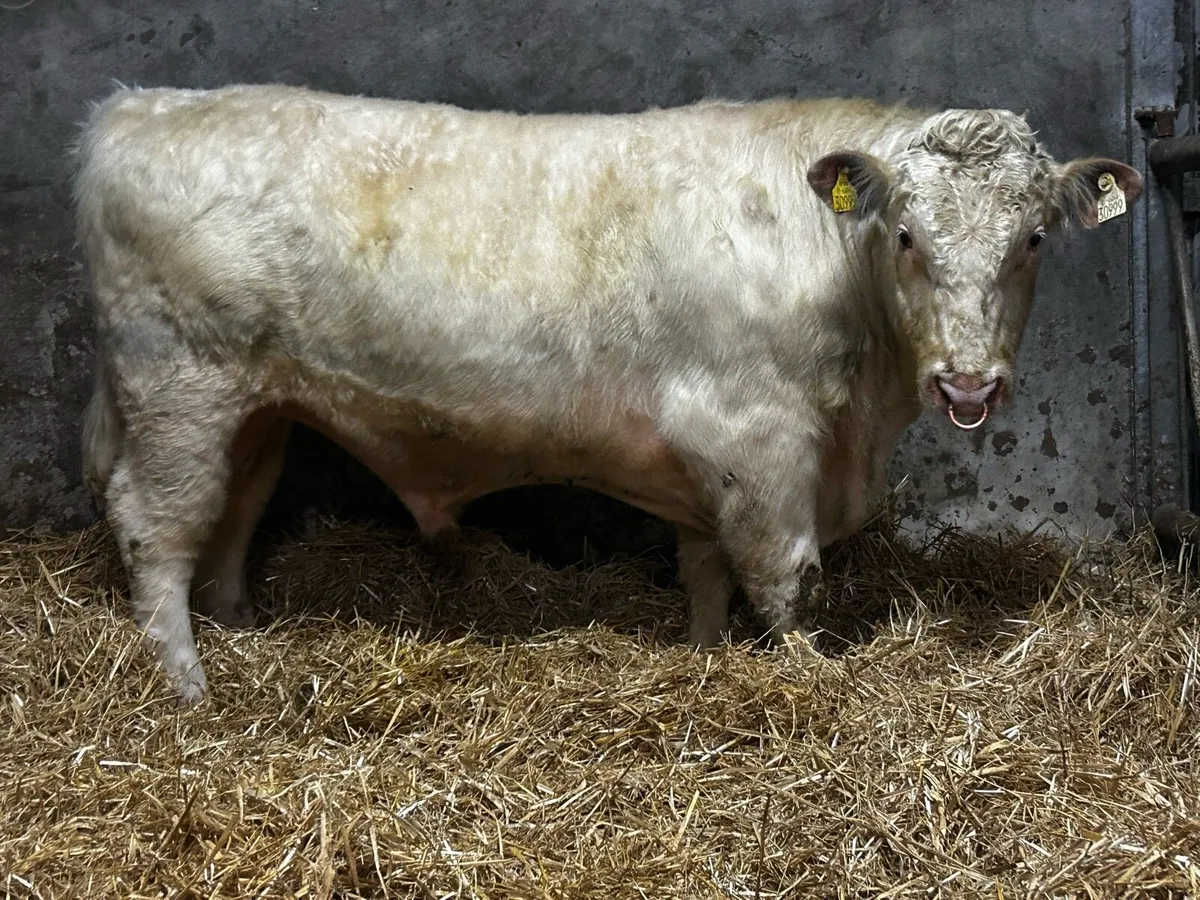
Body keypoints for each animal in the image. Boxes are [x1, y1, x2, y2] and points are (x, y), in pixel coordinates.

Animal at [73, 84, 1142, 704]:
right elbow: (783, 580)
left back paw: (242, 633)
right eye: (910, 237)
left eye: (1033, 239)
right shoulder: (758, 441)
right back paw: (190, 688)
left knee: (232, 518)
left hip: (256, 407)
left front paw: (707, 660)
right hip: (179, 388)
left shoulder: (715, 465)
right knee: (158, 530)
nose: (969, 380)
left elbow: (707, 574)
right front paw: (811, 679)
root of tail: (138, 108)